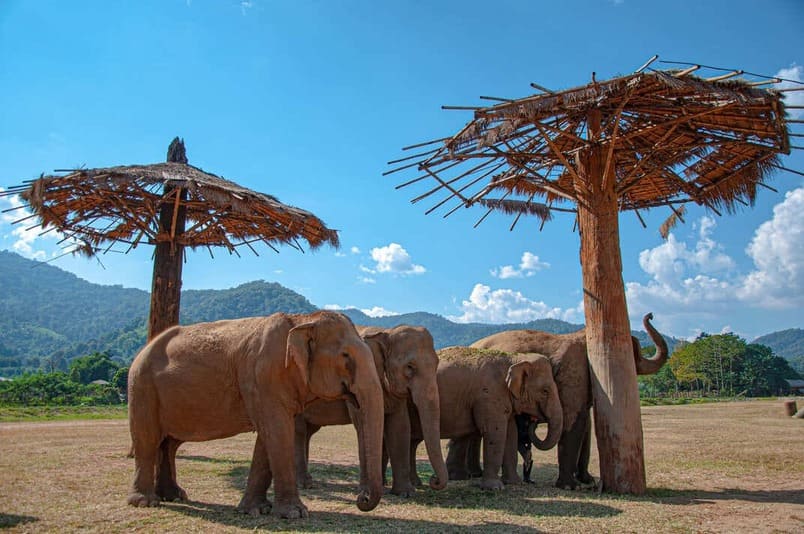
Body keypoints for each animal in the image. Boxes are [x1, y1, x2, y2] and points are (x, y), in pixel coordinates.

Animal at [126, 311, 385, 519]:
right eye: (345, 356)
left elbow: (268, 436)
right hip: (141, 388)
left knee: (169, 444)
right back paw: (146, 502)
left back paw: (175, 496)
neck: (302, 320)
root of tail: (143, 349)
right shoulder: (264, 376)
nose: (361, 499)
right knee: (148, 440)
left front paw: (256, 510)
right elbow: (278, 431)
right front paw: (295, 514)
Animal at [294, 325, 448, 497]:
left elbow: (400, 427)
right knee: (299, 431)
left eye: (437, 364)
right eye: (410, 367)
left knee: (307, 432)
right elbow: (363, 424)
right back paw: (304, 484)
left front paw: (405, 493)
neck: (386, 332)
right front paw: (367, 491)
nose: (434, 480)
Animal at [407, 347, 563, 491]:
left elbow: (511, 434)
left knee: (412, 441)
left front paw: (514, 483)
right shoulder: (489, 394)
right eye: (545, 391)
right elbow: (495, 432)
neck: (514, 358)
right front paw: (495, 488)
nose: (534, 420)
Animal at [467, 312, 668, 490]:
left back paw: (476, 474)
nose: (650, 315)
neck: (585, 336)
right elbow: (573, 421)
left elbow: (586, 425)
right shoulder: (573, 375)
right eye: (632, 355)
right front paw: (570, 486)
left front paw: (587, 481)